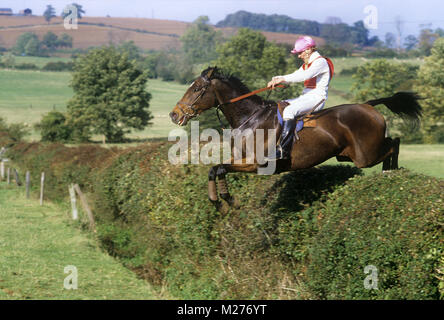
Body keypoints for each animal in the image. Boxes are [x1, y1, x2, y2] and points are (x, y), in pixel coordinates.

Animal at [168, 67, 422, 208]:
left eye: (196, 89)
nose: (174, 114)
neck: (250, 118)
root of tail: (368, 105)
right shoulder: (241, 161)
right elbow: (215, 169)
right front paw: (218, 202)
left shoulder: (257, 164)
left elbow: (220, 168)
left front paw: (228, 201)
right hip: (349, 155)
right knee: (392, 143)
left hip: (365, 155)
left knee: (394, 144)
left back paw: (391, 172)